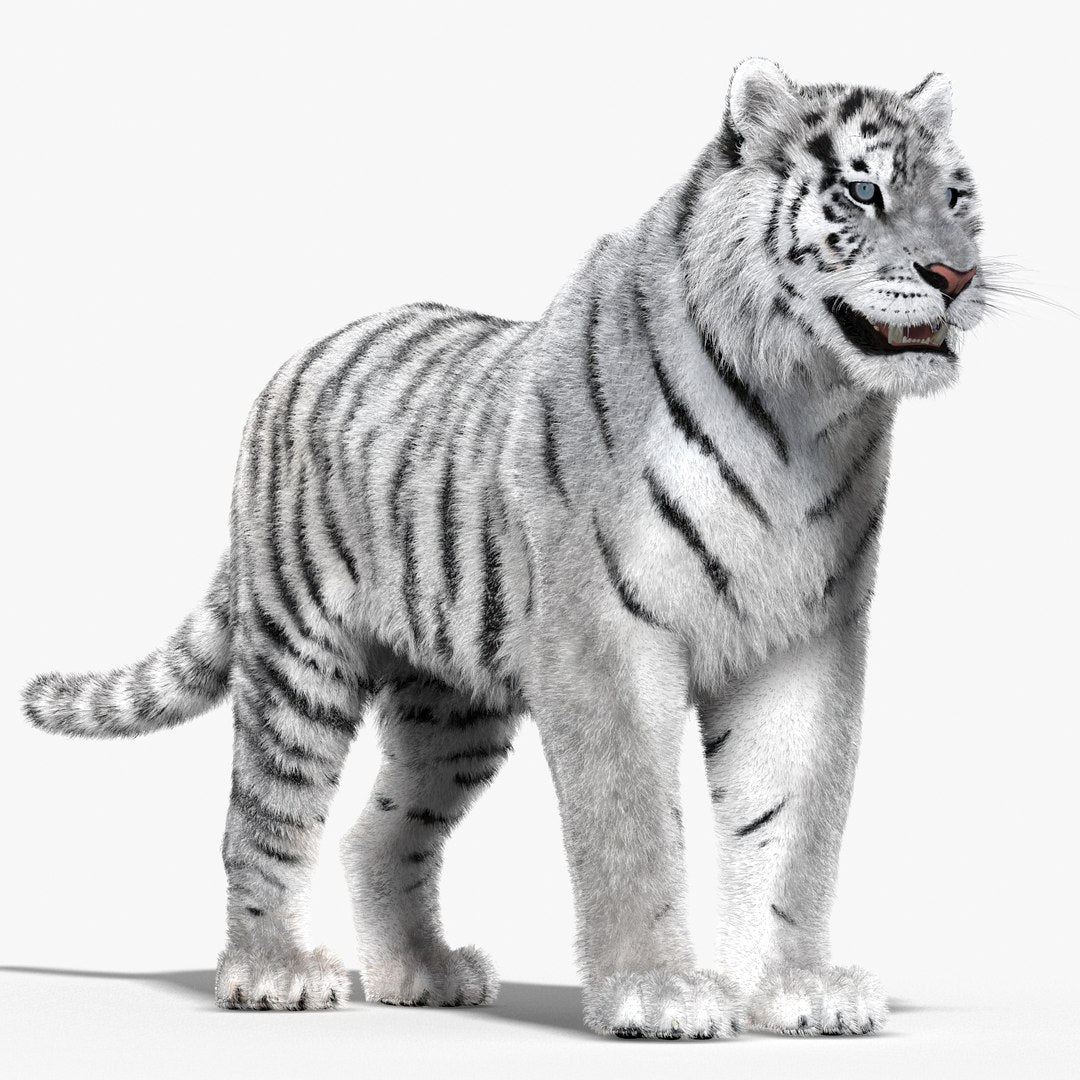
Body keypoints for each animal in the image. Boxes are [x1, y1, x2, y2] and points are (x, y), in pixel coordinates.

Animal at [22, 58, 985, 1039]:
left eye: (957, 196)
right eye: (862, 192)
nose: (955, 274)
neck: (801, 408)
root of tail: (296, 363)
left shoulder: (801, 640)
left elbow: (791, 826)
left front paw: (799, 990)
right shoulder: (606, 640)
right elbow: (633, 826)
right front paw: (658, 993)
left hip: (452, 708)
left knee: (379, 833)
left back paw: (420, 972)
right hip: (299, 659)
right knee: (264, 821)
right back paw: (274, 974)